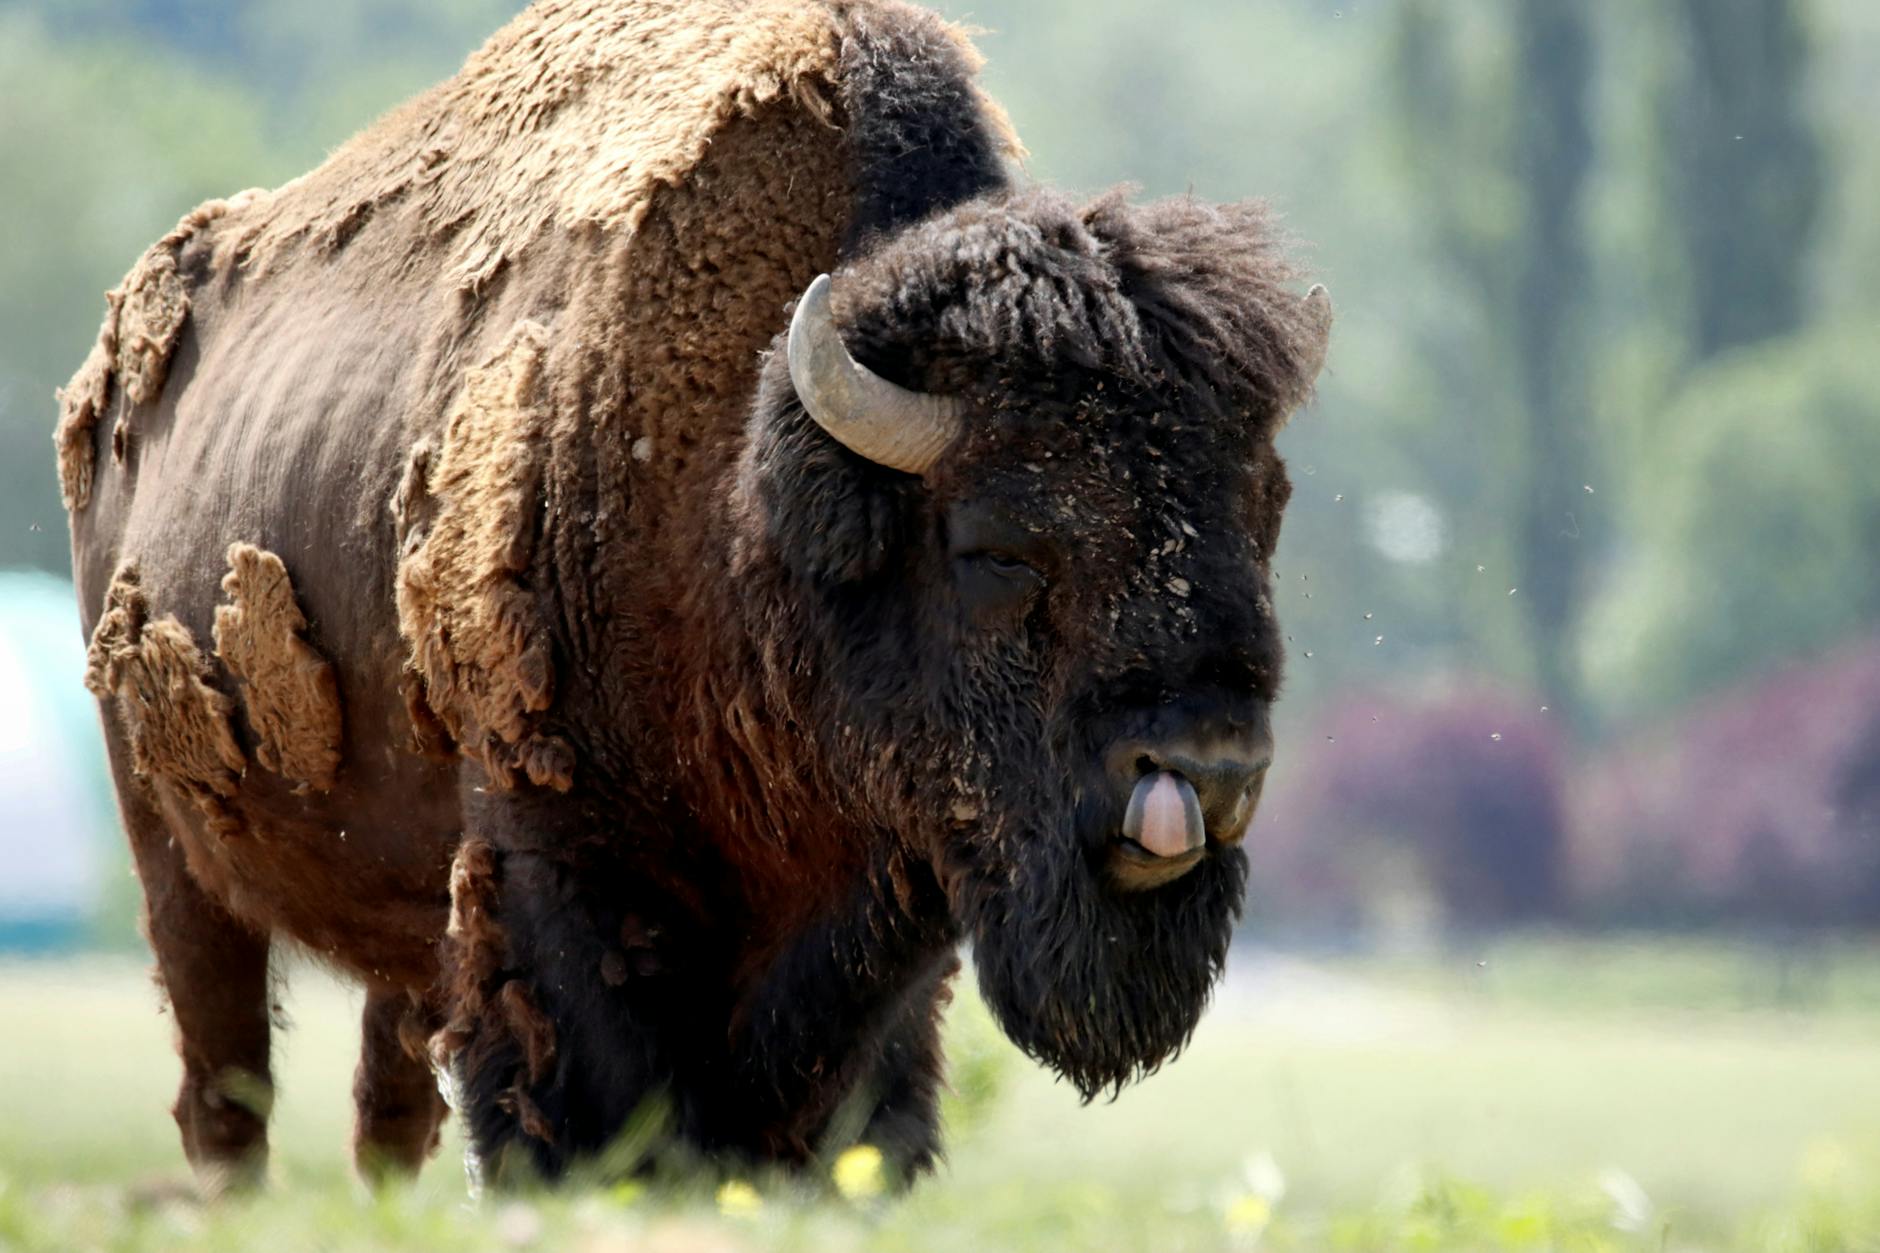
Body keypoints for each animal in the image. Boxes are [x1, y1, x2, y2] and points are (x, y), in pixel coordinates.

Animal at [58, 0, 1330, 1191]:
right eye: (999, 545)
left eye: (1262, 511)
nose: (1211, 766)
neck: (738, 502)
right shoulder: (549, 876)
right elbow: (590, 1106)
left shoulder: (877, 942)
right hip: (171, 851)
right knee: (225, 1083)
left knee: (387, 1102)